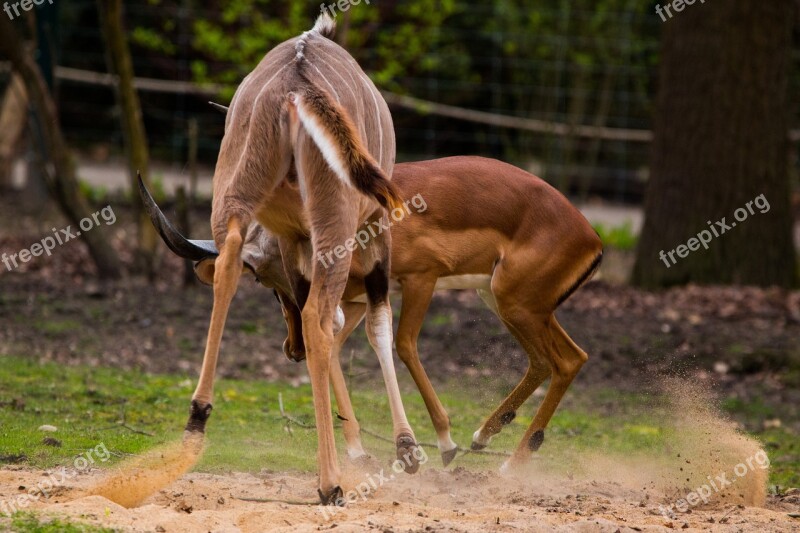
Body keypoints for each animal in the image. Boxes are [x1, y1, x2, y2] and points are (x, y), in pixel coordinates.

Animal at [145, 154, 608, 470]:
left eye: (261, 279)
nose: (291, 349)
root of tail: (591, 237)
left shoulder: (419, 279)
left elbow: (402, 345)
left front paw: (442, 443)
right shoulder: (353, 302)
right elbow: (334, 350)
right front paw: (357, 451)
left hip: (512, 302)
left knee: (563, 360)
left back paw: (506, 462)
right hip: (507, 302)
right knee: (562, 358)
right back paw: (485, 439)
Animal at [166, 14, 422, 500]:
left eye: (269, 288)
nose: (291, 352)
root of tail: (295, 90)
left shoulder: (290, 240)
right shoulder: (375, 229)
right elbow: (378, 328)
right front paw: (406, 446)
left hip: (235, 201)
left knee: (228, 267)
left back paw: (197, 417)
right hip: (335, 229)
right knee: (319, 319)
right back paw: (330, 482)